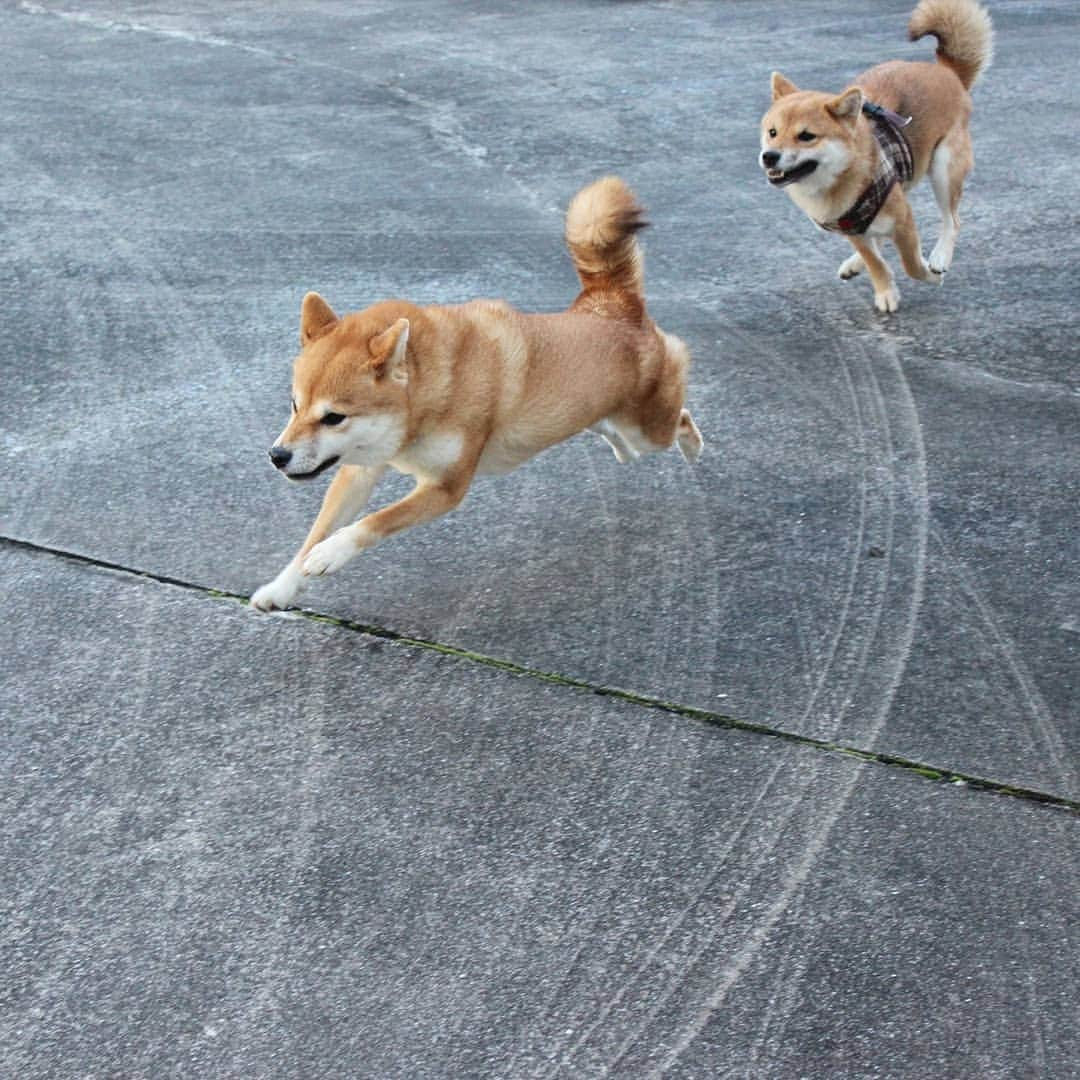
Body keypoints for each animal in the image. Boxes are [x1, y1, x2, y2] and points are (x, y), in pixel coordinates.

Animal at [249, 181, 704, 613]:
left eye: (333, 417)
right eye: (295, 406)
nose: (277, 456)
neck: (433, 394)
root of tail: (610, 303)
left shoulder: (446, 487)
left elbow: (373, 522)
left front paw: (333, 552)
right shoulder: (360, 468)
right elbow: (314, 534)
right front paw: (282, 587)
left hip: (651, 426)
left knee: (679, 408)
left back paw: (693, 444)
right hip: (604, 418)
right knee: (612, 430)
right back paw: (620, 447)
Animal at [756, 0, 989, 313]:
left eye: (806, 136)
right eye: (772, 132)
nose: (769, 156)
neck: (837, 181)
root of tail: (945, 71)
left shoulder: (903, 220)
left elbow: (910, 263)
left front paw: (928, 273)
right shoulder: (853, 228)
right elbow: (874, 261)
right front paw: (884, 289)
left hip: (944, 168)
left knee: (952, 220)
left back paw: (940, 255)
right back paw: (855, 263)